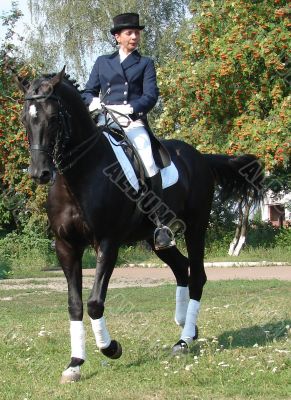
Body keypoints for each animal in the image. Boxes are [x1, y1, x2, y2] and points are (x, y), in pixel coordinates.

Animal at [19, 67, 264, 382]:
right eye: (26, 119)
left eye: (52, 117)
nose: (40, 173)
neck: (81, 176)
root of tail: (199, 157)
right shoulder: (66, 246)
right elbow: (74, 305)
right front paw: (75, 363)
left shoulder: (107, 243)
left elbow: (95, 302)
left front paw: (111, 348)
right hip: (155, 237)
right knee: (181, 269)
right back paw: (186, 325)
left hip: (196, 228)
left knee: (197, 276)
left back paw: (184, 340)